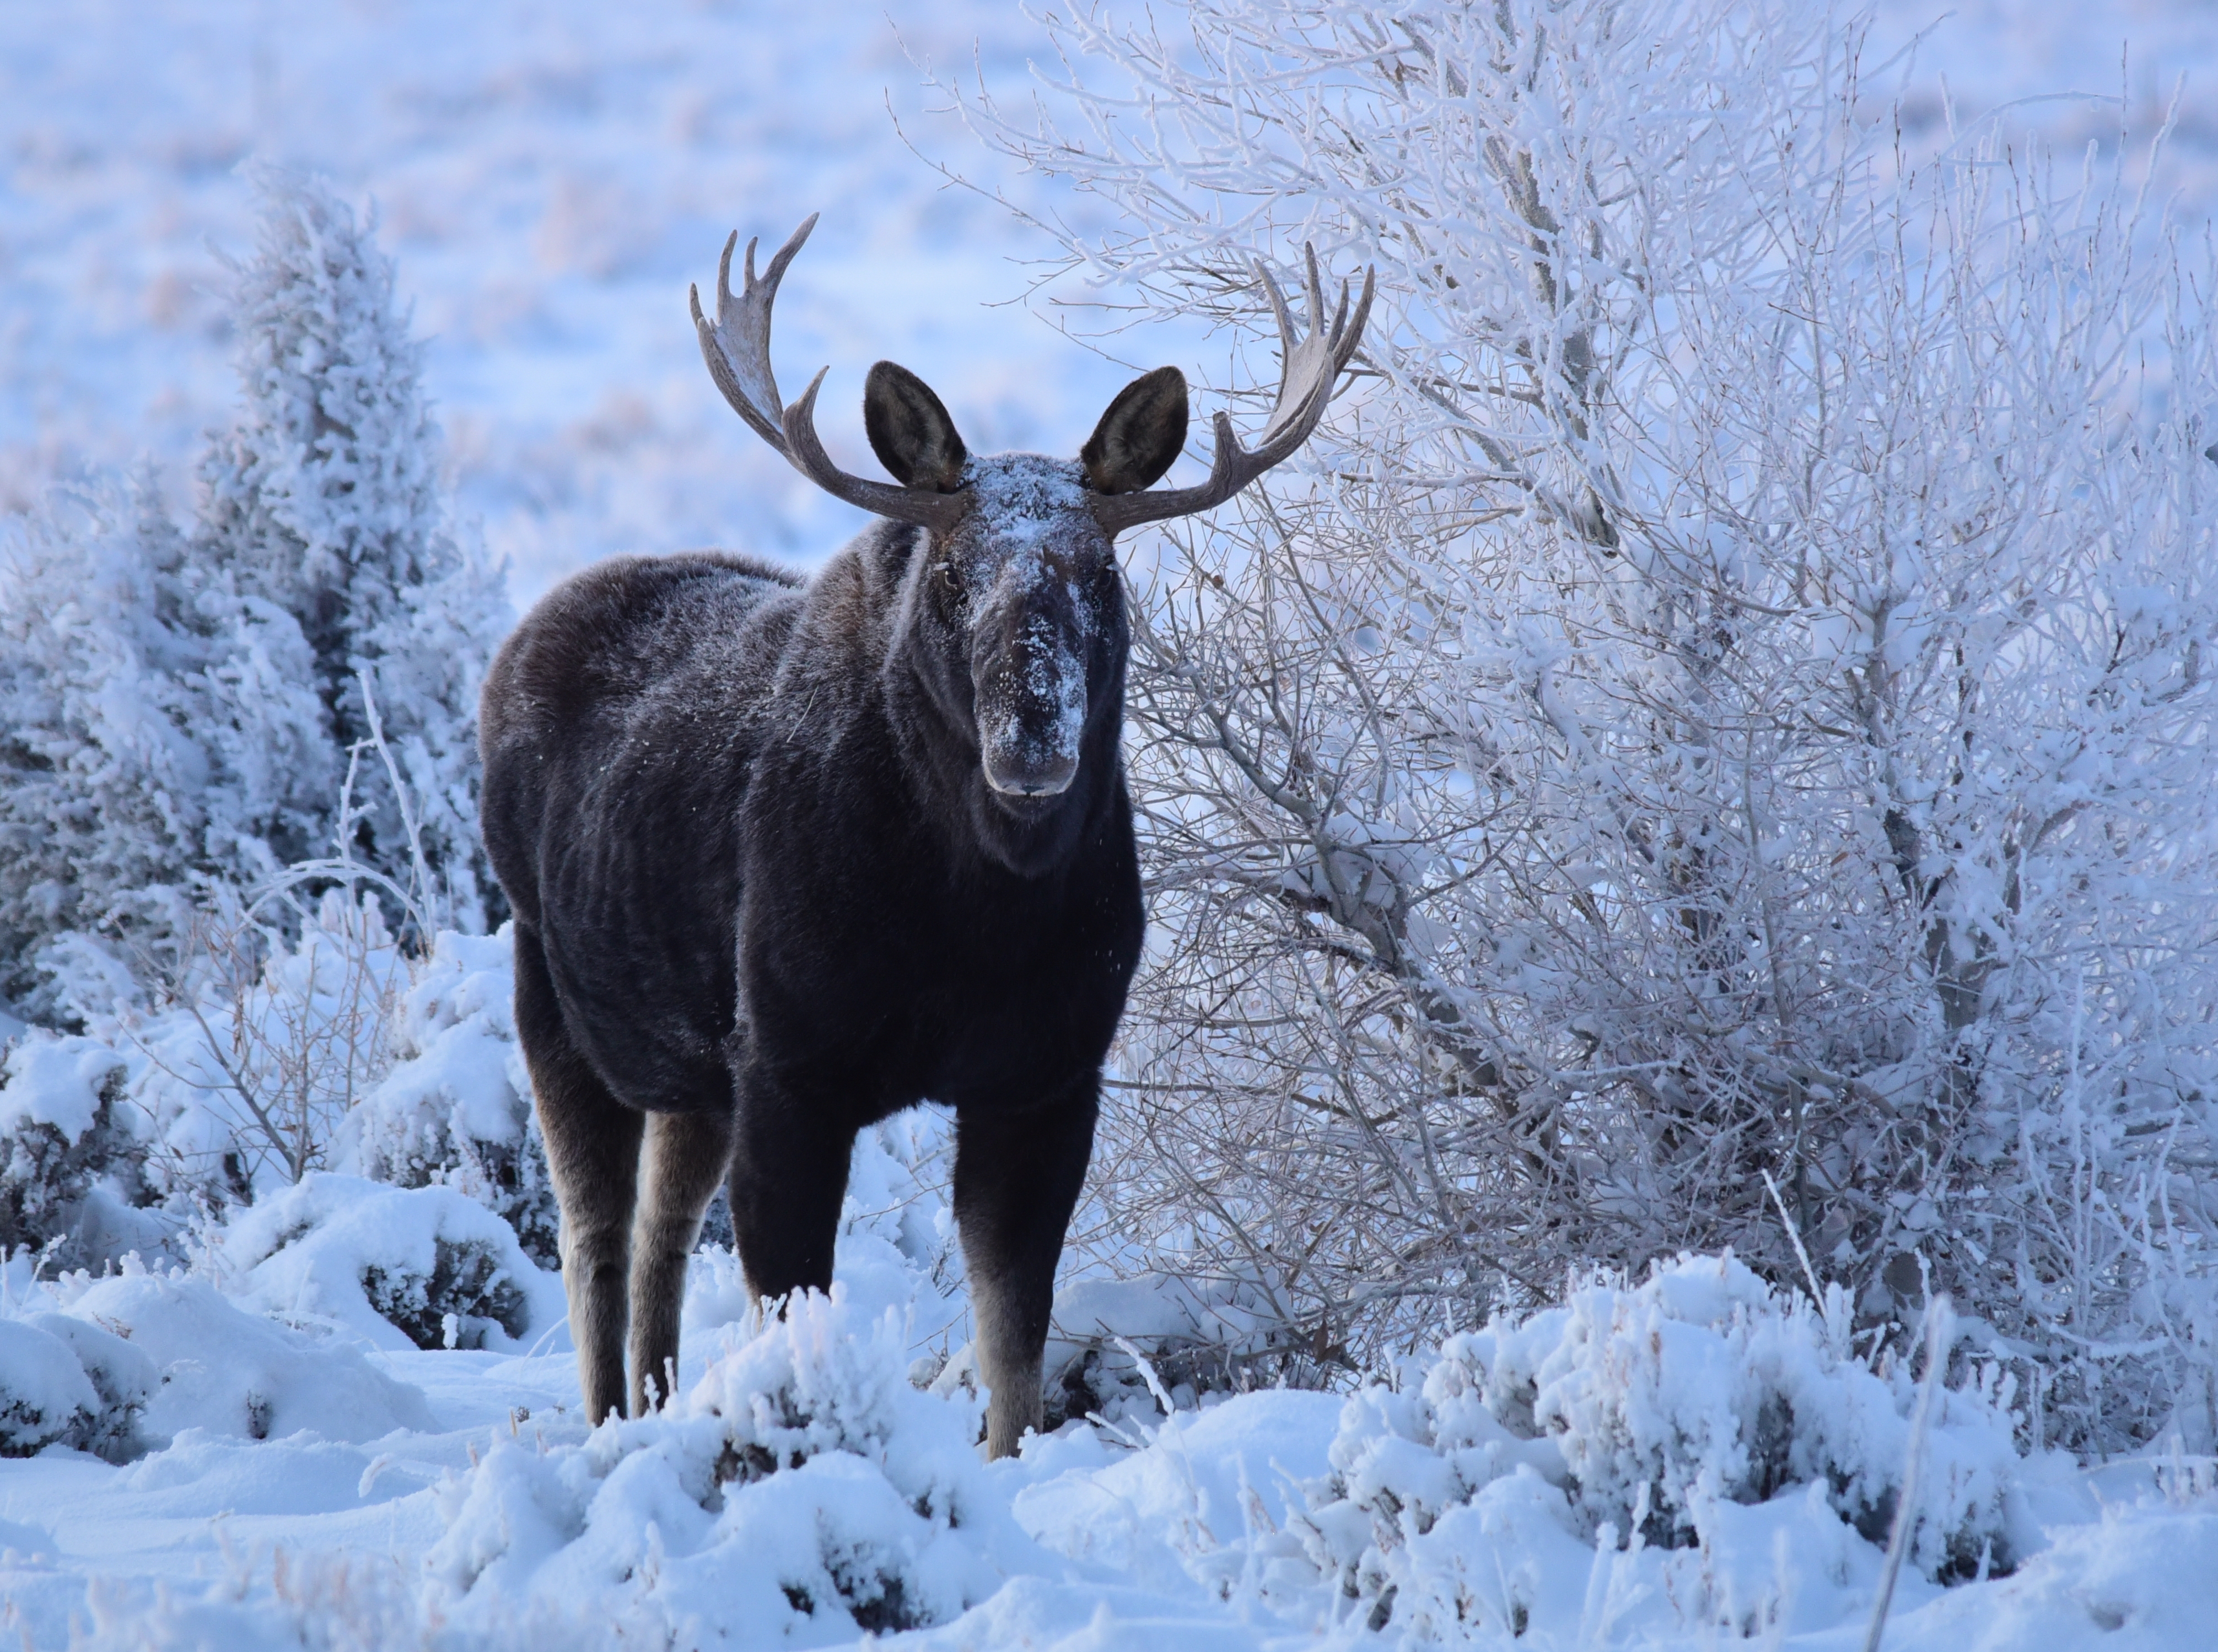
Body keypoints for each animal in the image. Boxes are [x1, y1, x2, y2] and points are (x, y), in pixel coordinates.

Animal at [477, 213, 1357, 1445]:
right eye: (951, 575)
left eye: (1099, 574)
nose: (1031, 742)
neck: (972, 925)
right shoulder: (791, 1066)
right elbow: (792, 1310)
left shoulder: (1045, 1074)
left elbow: (1014, 1341)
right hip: (550, 995)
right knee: (590, 1241)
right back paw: (612, 1422)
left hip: (693, 1062)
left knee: (657, 1232)